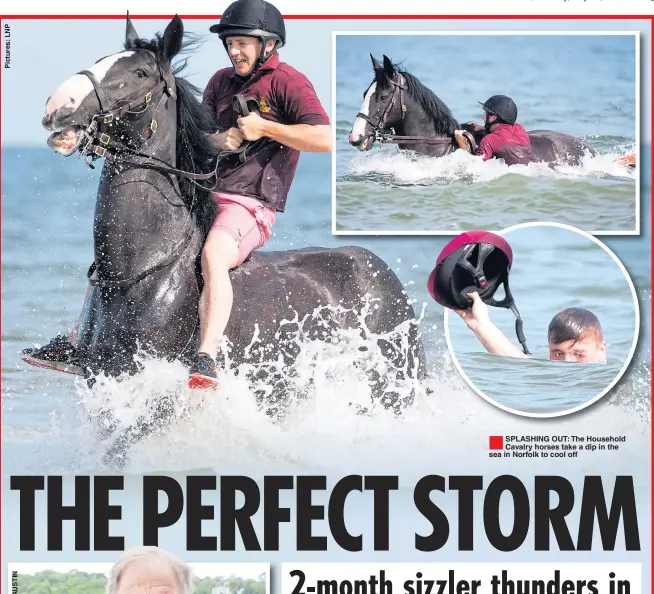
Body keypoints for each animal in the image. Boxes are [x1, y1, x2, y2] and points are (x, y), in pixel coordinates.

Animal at [43, 16, 428, 464]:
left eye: (139, 74)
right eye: (102, 59)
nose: (57, 107)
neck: (143, 272)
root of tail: (380, 272)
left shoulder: (166, 392)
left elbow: (122, 445)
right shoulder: (105, 380)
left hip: (394, 387)